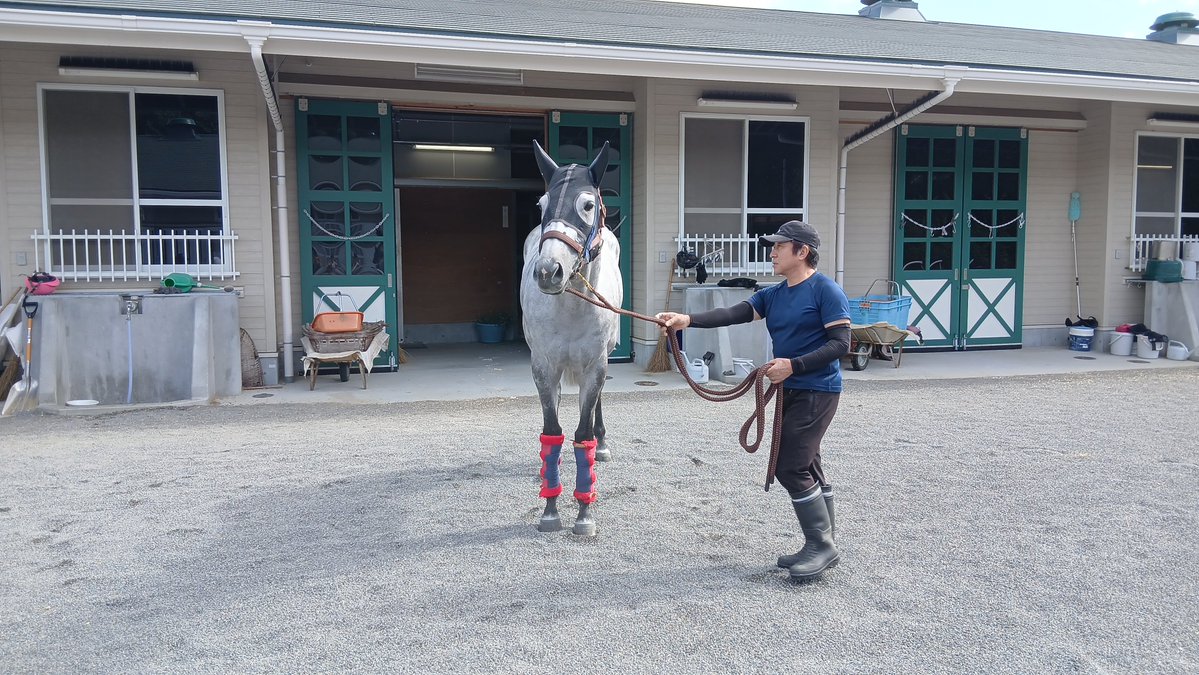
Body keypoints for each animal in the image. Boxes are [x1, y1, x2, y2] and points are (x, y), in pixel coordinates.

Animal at [521, 140, 621, 536]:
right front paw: (550, 510)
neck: (571, 305)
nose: (549, 271)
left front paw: (584, 513)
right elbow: (552, 430)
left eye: (588, 205)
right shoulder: (543, 367)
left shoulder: (596, 365)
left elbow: (583, 433)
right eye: (541, 206)